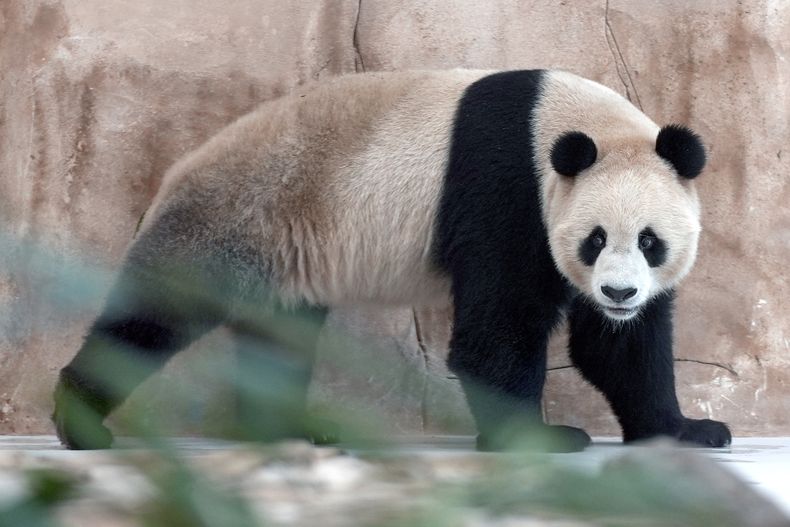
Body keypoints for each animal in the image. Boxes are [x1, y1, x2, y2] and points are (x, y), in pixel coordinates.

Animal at [53, 69, 732, 451]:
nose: (618, 294)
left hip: (280, 253)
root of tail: (174, 174)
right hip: (237, 215)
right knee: (156, 313)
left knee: (280, 341)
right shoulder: (505, 193)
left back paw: (290, 430)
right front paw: (540, 437)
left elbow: (619, 348)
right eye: (594, 239)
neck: (562, 124)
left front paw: (687, 428)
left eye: (650, 241)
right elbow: (497, 333)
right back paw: (80, 425)